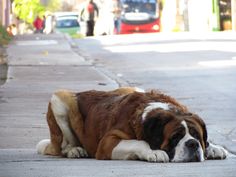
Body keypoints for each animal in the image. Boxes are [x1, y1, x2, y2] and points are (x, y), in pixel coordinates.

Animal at [36, 86, 227, 162]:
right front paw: (154, 152)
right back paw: (75, 150)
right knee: (62, 146)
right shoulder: (108, 143)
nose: (193, 144)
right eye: (175, 137)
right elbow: (138, 142)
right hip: (59, 99)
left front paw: (212, 148)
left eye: (196, 135)